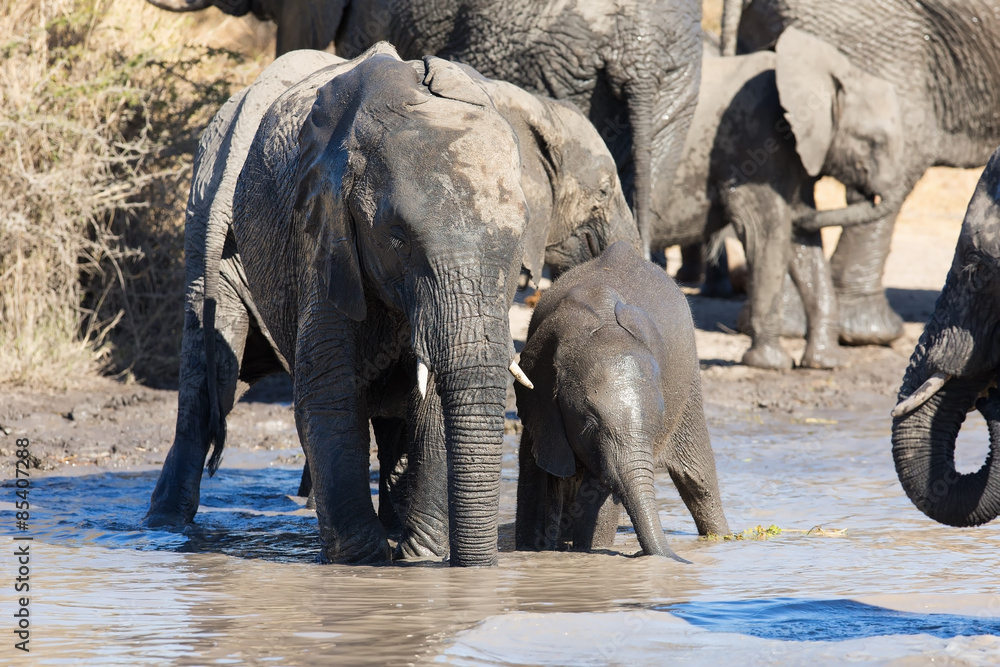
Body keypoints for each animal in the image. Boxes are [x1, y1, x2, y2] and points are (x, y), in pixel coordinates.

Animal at [144, 44, 640, 566]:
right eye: (397, 238)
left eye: (518, 234)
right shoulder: (322, 235)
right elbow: (327, 388)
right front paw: (365, 562)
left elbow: (432, 394)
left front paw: (419, 559)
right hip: (205, 228)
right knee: (207, 371)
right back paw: (166, 526)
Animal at [514, 241, 730, 558]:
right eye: (589, 426)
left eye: (656, 427)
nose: (640, 554)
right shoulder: (540, 402)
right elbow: (539, 478)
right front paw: (533, 551)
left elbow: (599, 494)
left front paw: (591, 552)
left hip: (689, 387)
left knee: (699, 480)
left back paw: (724, 539)